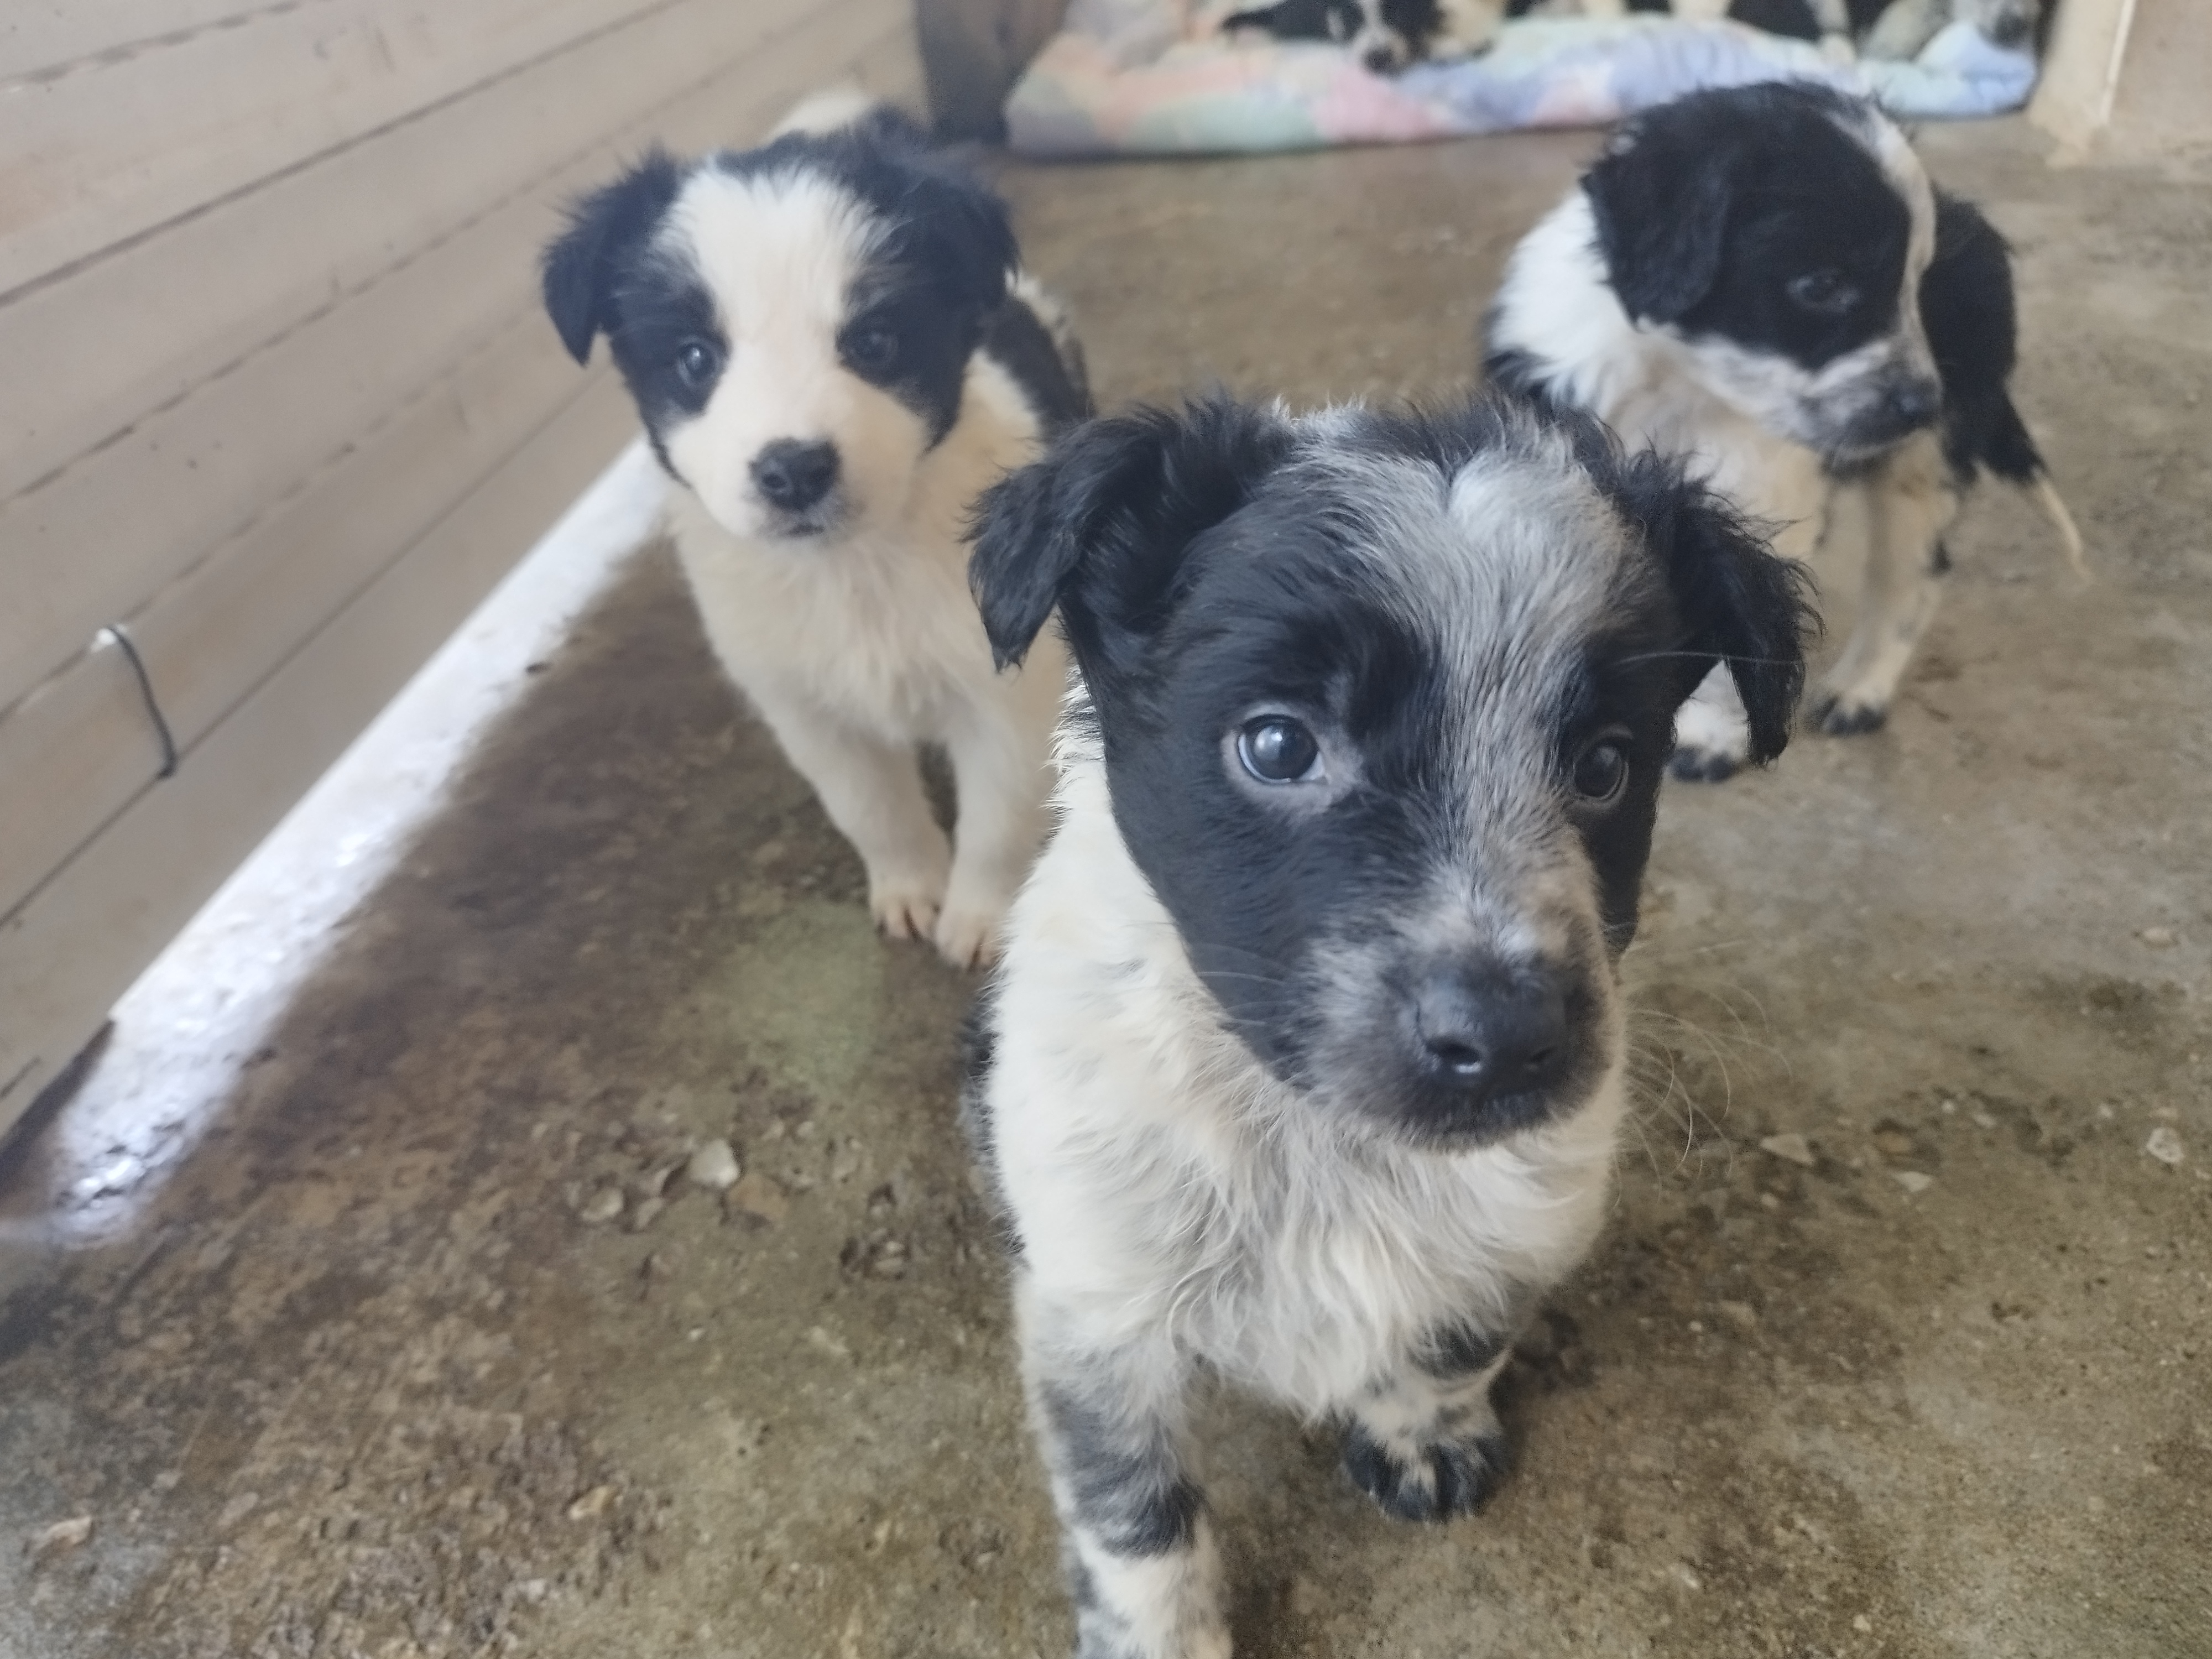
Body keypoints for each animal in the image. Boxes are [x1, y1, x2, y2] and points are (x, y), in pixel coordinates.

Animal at [540, 96, 1089, 966]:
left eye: (875, 341)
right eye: (694, 358)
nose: (794, 471)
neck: (853, 570)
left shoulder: (1004, 697)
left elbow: (998, 818)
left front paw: (980, 918)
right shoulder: (803, 704)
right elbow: (869, 808)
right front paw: (909, 889)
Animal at [962, 392, 1810, 1658]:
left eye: (1607, 766)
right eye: (1275, 744)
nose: (1505, 1040)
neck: (1325, 1148)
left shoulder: (1528, 1217)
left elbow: (1459, 1335)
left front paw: (1421, 1430)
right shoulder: (1092, 1303)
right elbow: (1134, 1514)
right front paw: (1162, 1636)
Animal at [1486, 81, 2082, 780]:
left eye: (1916, 286)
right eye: (1821, 286)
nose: (1923, 404)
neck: (1682, 383)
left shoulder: (1756, 496)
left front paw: (1706, 739)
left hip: (1924, 464)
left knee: (1913, 572)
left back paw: (1860, 690)